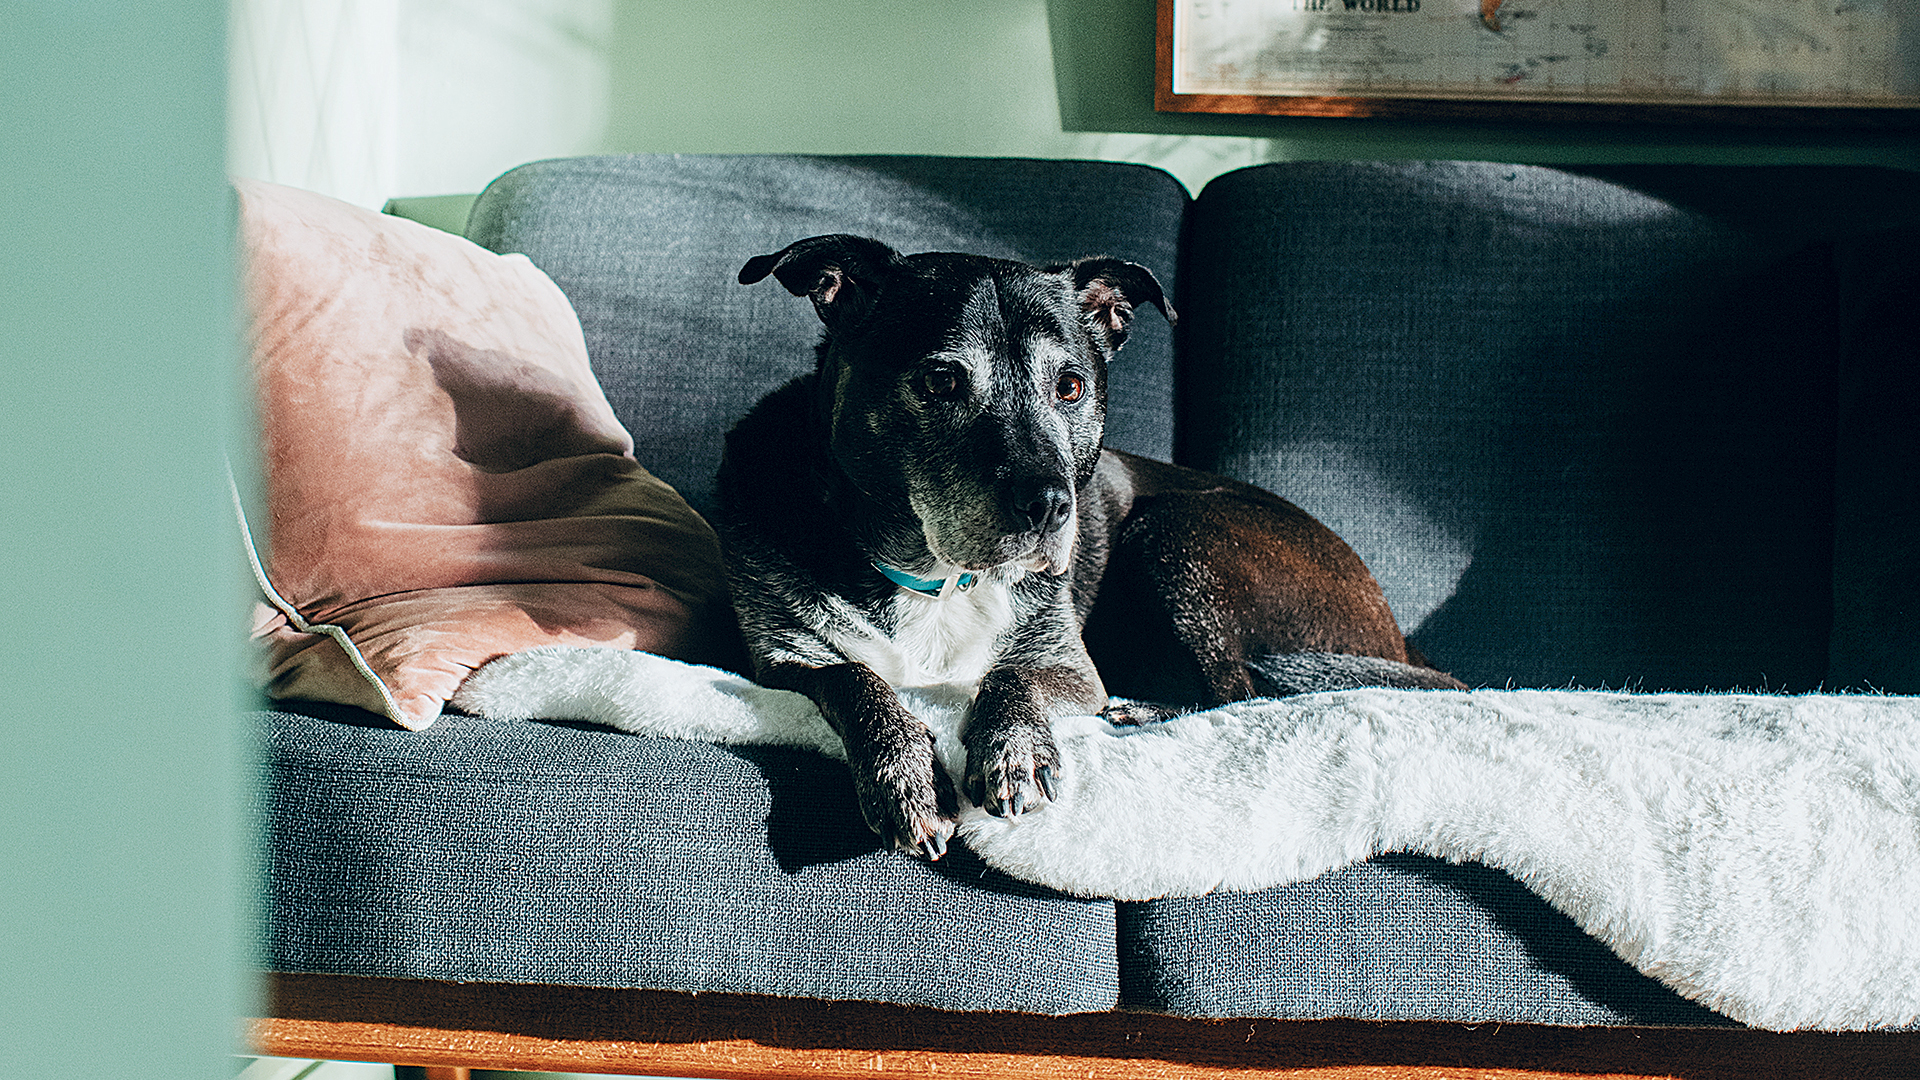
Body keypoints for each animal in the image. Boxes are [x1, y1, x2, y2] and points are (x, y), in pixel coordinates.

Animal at [714, 233, 1459, 857]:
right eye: (941, 381)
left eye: (1070, 386)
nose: (1051, 506)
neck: (936, 572)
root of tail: (1398, 636)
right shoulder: (779, 660)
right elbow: (855, 678)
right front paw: (906, 774)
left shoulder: (1068, 664)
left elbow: (1010, 674)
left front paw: (1013, 747)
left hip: (1174, 532)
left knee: (1241, 693)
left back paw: (1139, 709)